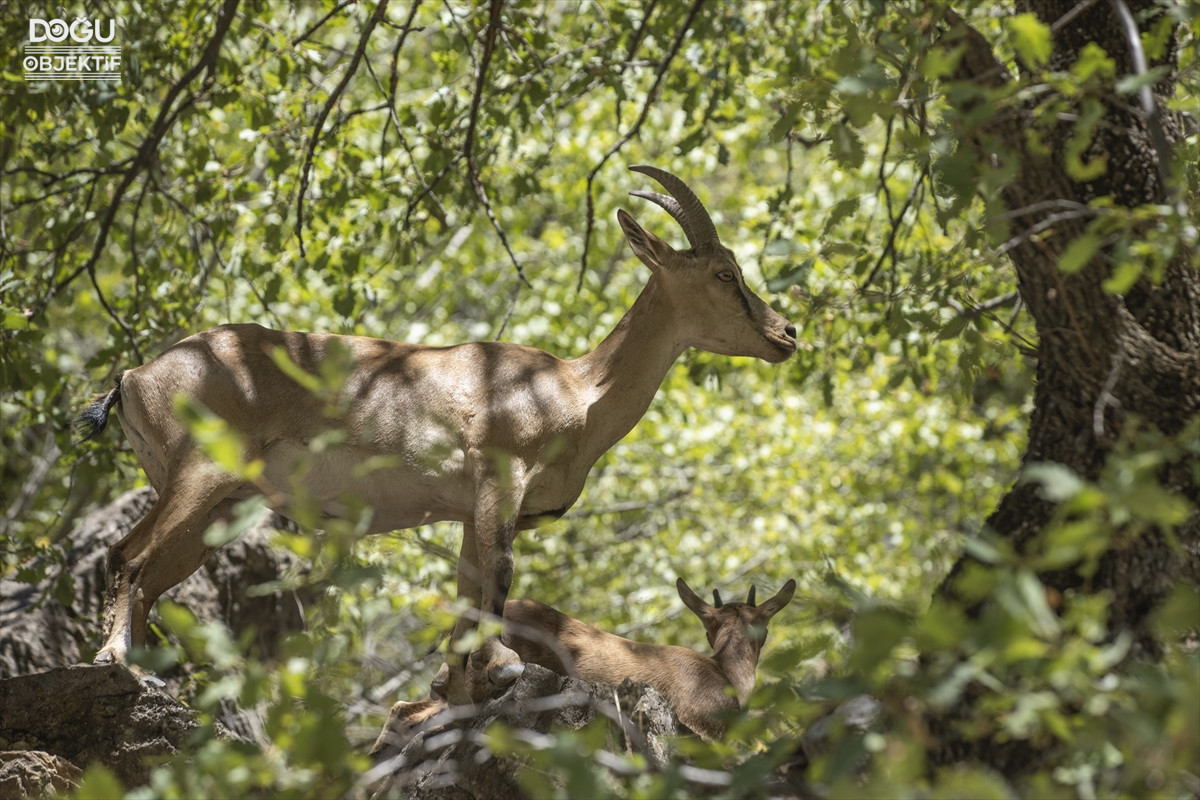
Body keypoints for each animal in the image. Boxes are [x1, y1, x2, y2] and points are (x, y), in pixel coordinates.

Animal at [79, 165, 801, 705]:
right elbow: (500, 578)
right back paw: (118, 663)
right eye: (724, 273)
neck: (574, 390)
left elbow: (466, 598)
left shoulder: (466, 514)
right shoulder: (500, 483)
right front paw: (501, 670)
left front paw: (459, 688)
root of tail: (136, 375)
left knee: (147, 575)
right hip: (199, 477)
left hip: (217, 509)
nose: (787, 334)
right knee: (127, 557)